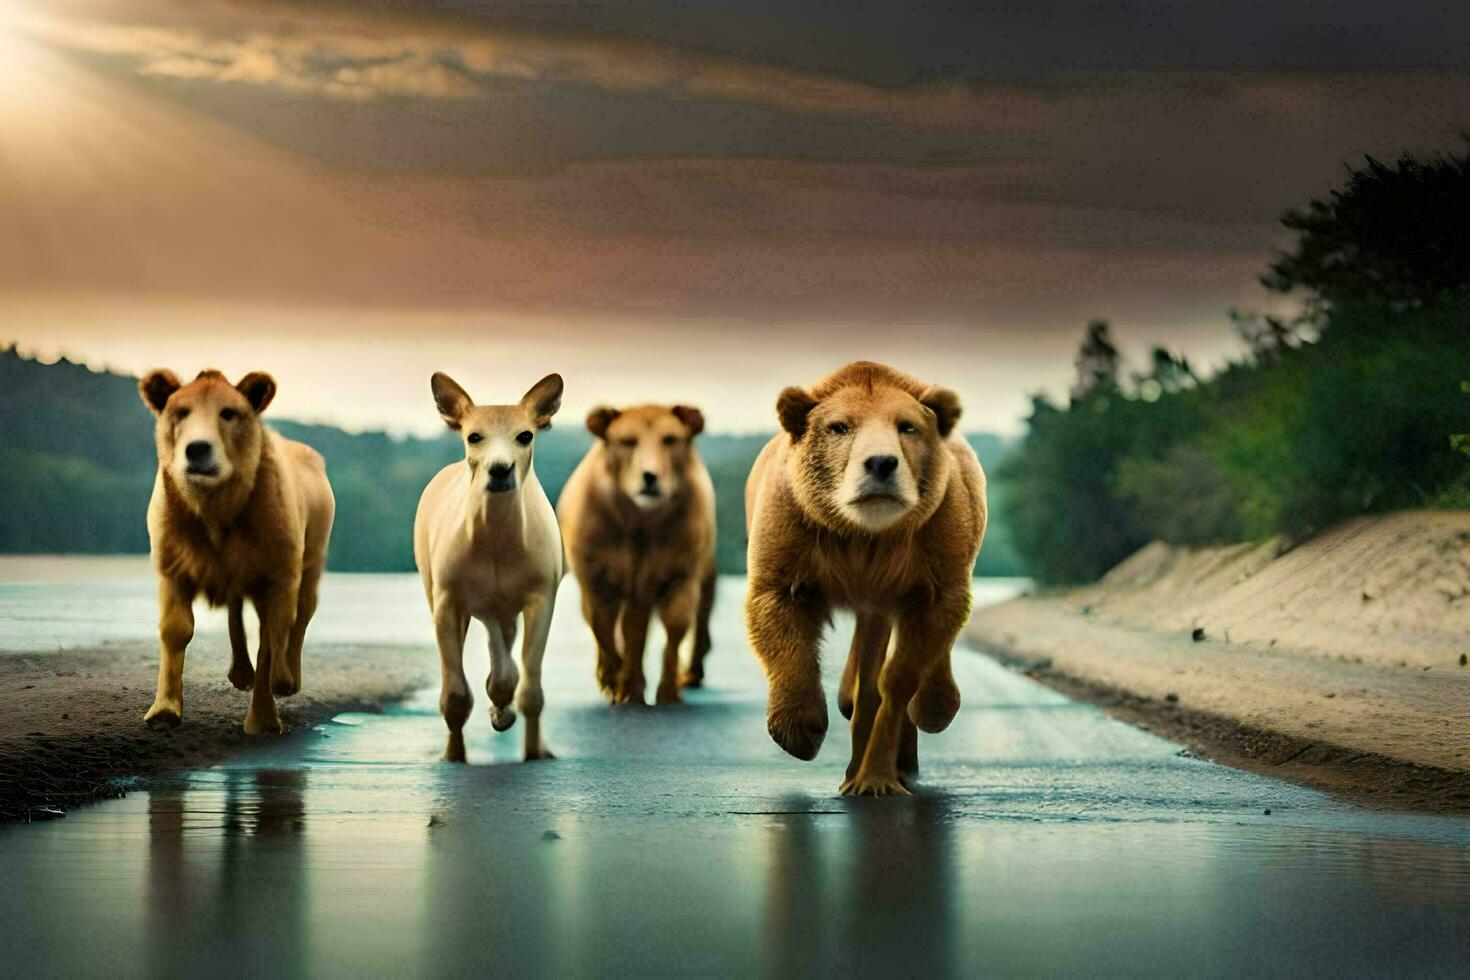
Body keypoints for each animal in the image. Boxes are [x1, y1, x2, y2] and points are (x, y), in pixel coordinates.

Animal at [555, 405, 717, 705]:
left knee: (697, 617)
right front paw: (613, 681)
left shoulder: (679, 573)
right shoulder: (596, 577)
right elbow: (603, 627)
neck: (640, 524)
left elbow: (675, 627)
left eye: (670, 439)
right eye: (628, 441)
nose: (650, 475)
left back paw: (687, 675)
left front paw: (666, 693)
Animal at [746, 359, 987, 799]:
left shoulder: (934, 553)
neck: (865, 536)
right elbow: (780, 619)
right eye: (839, 426)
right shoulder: (793, 534)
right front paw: (799, 730)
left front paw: (878, 777)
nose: (881, 463)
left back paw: (929, 712)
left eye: (907, 426)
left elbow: (903, 670)